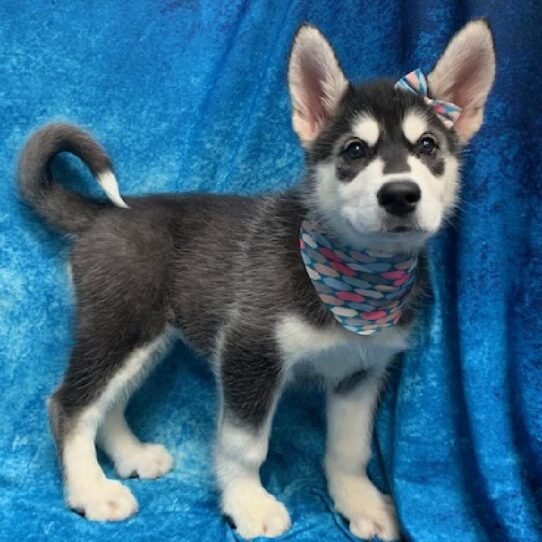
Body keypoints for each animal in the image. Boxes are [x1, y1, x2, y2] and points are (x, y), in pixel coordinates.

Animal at [19, 20, 498, 542]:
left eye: (428, 146)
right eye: (354, 150)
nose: (399, 195)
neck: (358, 275)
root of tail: (101, 214)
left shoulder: (361, 372)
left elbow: (350, 451)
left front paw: (359, 501)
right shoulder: (250, 353)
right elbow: (245, 445)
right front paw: (247, 503)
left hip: (146, 337)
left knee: (109, 404)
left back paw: (130, 455)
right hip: (121, 327)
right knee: (70, 405)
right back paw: (91, 490)